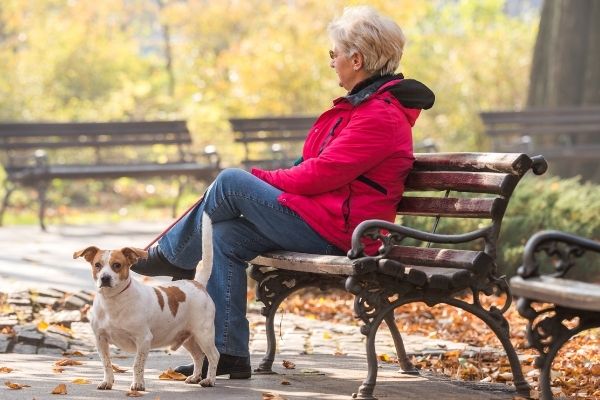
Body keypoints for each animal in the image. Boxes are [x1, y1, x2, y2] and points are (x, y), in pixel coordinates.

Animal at [73, 212, 218, 390]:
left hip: (203, 334)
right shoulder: (100, 339)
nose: (105, 278)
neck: (113, 301)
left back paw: (209, 379)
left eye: (117, 265)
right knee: (199, 356)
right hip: (188, 336)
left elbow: (137, 364)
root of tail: (197, 283)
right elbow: (106, 363)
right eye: (97, 265)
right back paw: (195, 377)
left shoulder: (143, 339)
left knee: (213, 356)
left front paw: (138, 384)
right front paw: (107, 381)